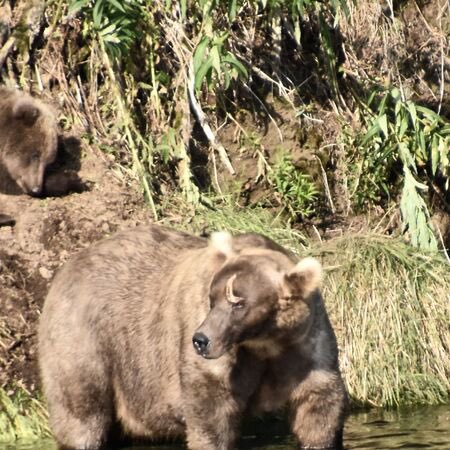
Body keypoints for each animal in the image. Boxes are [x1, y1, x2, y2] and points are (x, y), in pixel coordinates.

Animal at [39, 225, 348, 450]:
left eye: (239, 303)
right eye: (212, 298)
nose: (201, 339)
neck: (264, 343)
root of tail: (68, 266)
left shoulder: (306, 346)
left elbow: (318, 406)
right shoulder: (222, 362)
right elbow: (210, 411)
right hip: (86, 339)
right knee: (82, 409)